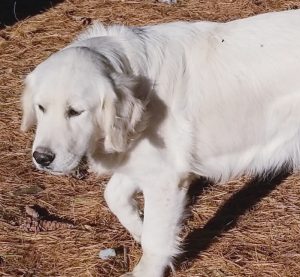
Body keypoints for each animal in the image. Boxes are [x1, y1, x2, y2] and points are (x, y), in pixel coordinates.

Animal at [22, 9, 300, 276]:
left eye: (75, 112)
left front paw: (146, 268)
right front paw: (138, 228)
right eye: (41, 107)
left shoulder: (165, 178)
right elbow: (114, 195)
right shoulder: (143, 160)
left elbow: (155, 239)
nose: (42, 158)